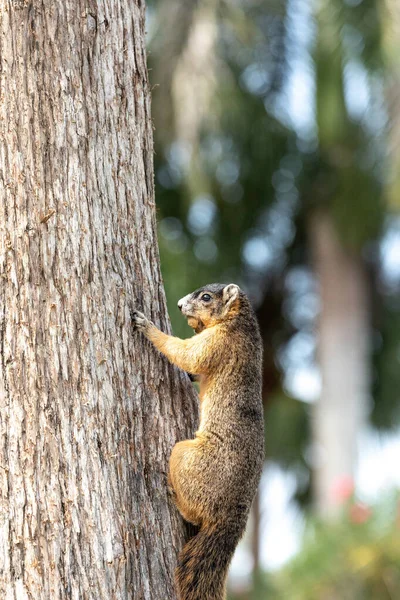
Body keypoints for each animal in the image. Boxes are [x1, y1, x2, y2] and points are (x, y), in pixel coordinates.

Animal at [130, 284, 266, 600]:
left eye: (206, 297)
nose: (179, 304)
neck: (238, 321)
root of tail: (231, 516)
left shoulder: (218, 345)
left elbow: (187, 354)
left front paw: (147, 326)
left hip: (186, 456)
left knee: (192, 513)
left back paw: (171, 494)